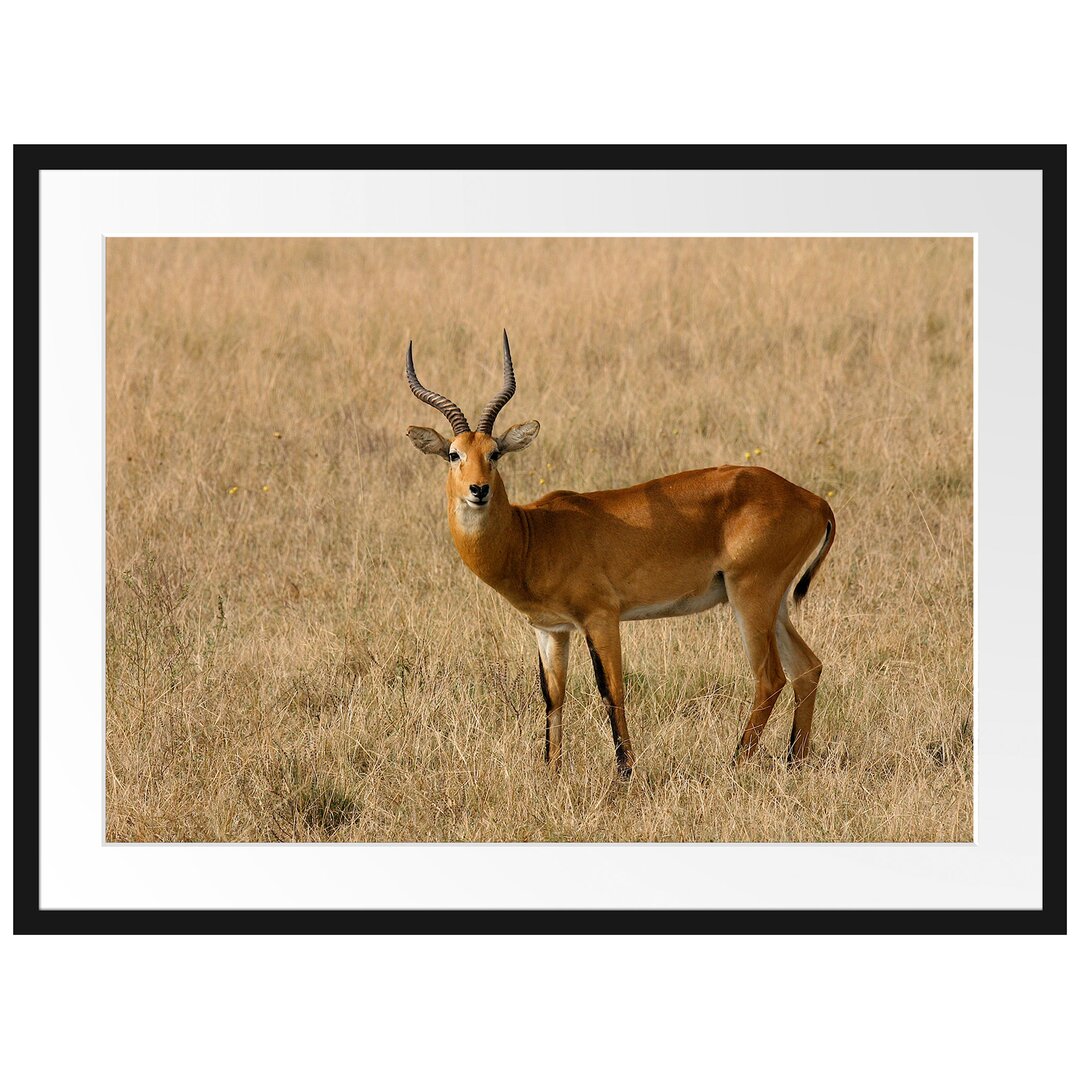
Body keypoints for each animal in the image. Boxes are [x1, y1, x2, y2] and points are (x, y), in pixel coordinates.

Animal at [406, 328, 833, 777]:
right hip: (775, 604)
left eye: (495, 452)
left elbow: (611, 688)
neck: (533, 536)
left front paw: (625, 770)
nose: (479, 490)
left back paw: (734, 762)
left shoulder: (602, 617)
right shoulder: (550, 629)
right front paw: (551, 770)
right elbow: (553, 695)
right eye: (453, 453)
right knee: (807, 668)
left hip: (750, 597)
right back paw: (794, 760)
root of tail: (813, 500)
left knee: (770, 677)